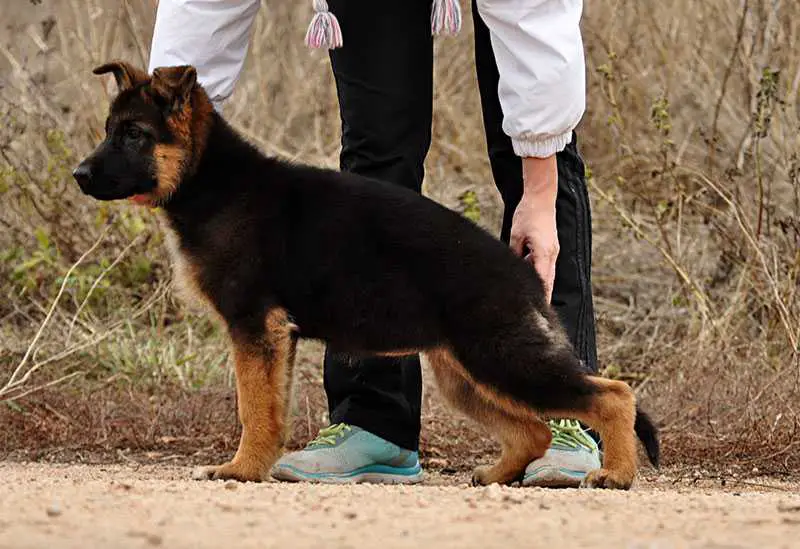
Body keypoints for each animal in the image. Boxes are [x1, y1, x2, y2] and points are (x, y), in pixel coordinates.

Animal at [73, 61, 664, 488]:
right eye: (108, 131)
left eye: (133, 135)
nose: (78, 174)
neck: (210, 180)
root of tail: (520, 271)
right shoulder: (271, 337)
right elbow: (268, 407)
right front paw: (253, 467)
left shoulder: (255, 328)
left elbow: (255, 408)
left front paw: (240, 470)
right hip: (466, 374)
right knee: (533, 430)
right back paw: (500, 474)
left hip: (504, 359)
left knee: (613, 395)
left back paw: (616, 474)